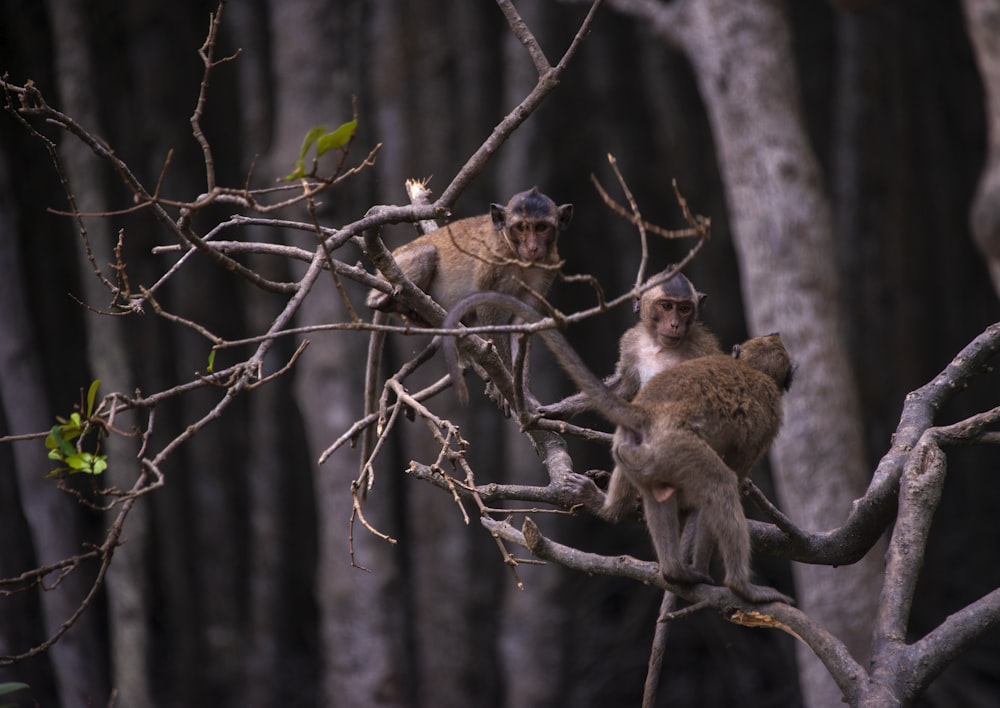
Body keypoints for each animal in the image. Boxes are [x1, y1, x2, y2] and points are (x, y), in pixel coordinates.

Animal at [444, 290, 796, 604]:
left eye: (683, 309)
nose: (674, 323)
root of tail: (646, 415)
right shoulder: (770, 419)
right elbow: (732, 478)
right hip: (677, 448)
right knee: (720, 484)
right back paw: (738, 586)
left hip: (640, 450)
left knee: (663, 488)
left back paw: (643, 540)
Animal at [540, 266, 720, 420]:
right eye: (667, 306)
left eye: (684, 309)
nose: (675, 324)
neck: (659, 346)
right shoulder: (631, 344)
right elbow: (624, 385)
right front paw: (561, 408)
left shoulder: (701, 348)